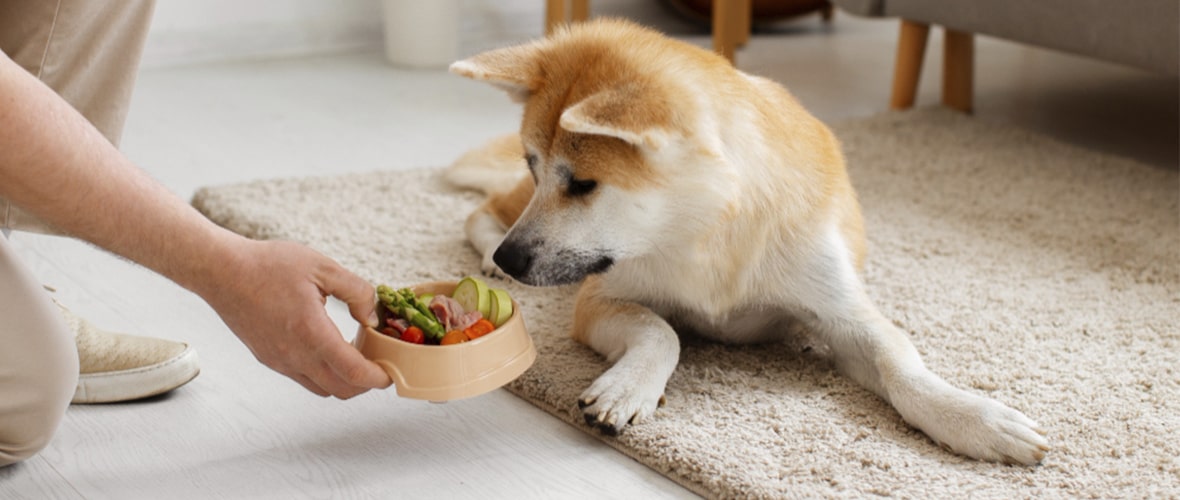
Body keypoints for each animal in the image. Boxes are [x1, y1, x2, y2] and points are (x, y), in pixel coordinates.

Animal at [443, 19, 1052, 464]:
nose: (512, 259)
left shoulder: (841, 312)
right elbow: (662, 331)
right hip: (516, 208)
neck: (700, 229)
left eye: (584, 185)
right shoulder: (601, 297)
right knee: (480, 208)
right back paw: (487, 248)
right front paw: (631, 387)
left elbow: (901, 364)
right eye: (537, 165)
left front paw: (972, 417)